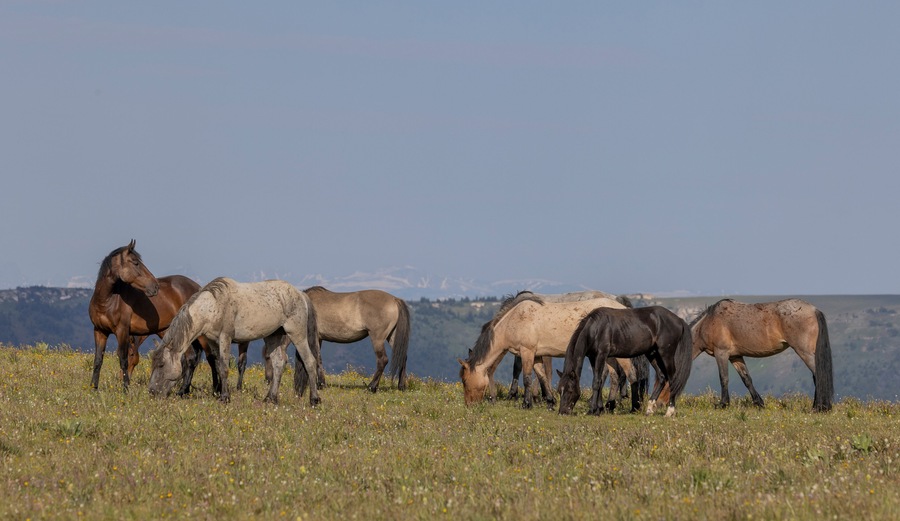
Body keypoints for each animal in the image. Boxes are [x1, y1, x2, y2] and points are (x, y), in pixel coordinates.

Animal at [148, 277, 320, 406]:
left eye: (161, 365)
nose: (151, 392)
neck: (214, 305)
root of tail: (300, 294)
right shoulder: (212, 342)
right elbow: (218, 366)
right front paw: (219, 393)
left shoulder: (225, 338)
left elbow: (224, 368)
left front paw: (225, 397)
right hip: (273, 336)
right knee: (279, 363)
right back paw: (270, 398)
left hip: (297, 334)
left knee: (310, 362)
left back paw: (314, 400)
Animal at [458, 293, 626, 409]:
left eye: (465, 381)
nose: (469, 405)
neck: (513, 321)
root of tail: (623, 307)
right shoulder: (537, 355)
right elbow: (542, 376)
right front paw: (550, 401)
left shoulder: (527, 351)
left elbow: (527, 378)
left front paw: (526, 404)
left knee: (613, 375)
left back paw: (608, 404)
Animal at [556, 306, 693, 417]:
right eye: (559, 391)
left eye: (569, 390)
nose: (562, 412)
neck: (595, 329)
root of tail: (679, 320)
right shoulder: (592, 357)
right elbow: (599, 381)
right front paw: (598, 409)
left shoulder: (601, 355)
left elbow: (596, 382)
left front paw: (592, 410)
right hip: (652, 354)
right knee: (662, 377)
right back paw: (649, 410)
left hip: (666, 354)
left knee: (673, 379)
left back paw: (669, 411)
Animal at [688, 298, 834, 412]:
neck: (708, 322)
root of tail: (814, 310)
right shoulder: (735, 356)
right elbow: (747, 379)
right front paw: (759, 403)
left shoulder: (721, 353)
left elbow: (723, 378)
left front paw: (723, 404)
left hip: (804, 352)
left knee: (818, 376)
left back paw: (819, 407)